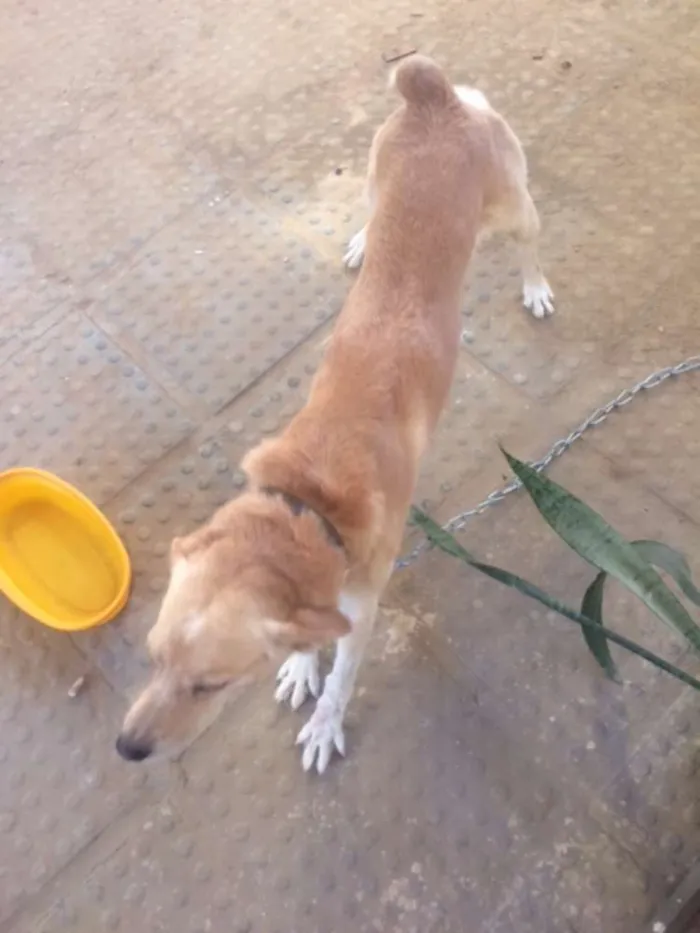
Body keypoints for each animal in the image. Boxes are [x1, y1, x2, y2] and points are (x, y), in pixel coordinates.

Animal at [115, 54, 552, 776]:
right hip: (377, 177)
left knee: (528, 242)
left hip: (515, 207)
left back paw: (536, 286)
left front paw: (324, 721)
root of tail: (433, 95)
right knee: (371, 212)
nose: (127, 748)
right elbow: (306, 642)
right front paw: (300, 666)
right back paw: (359, 241)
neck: (305, 502)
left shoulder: (363, 609)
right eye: (152, 658)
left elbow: (344, 679)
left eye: (212, 684)